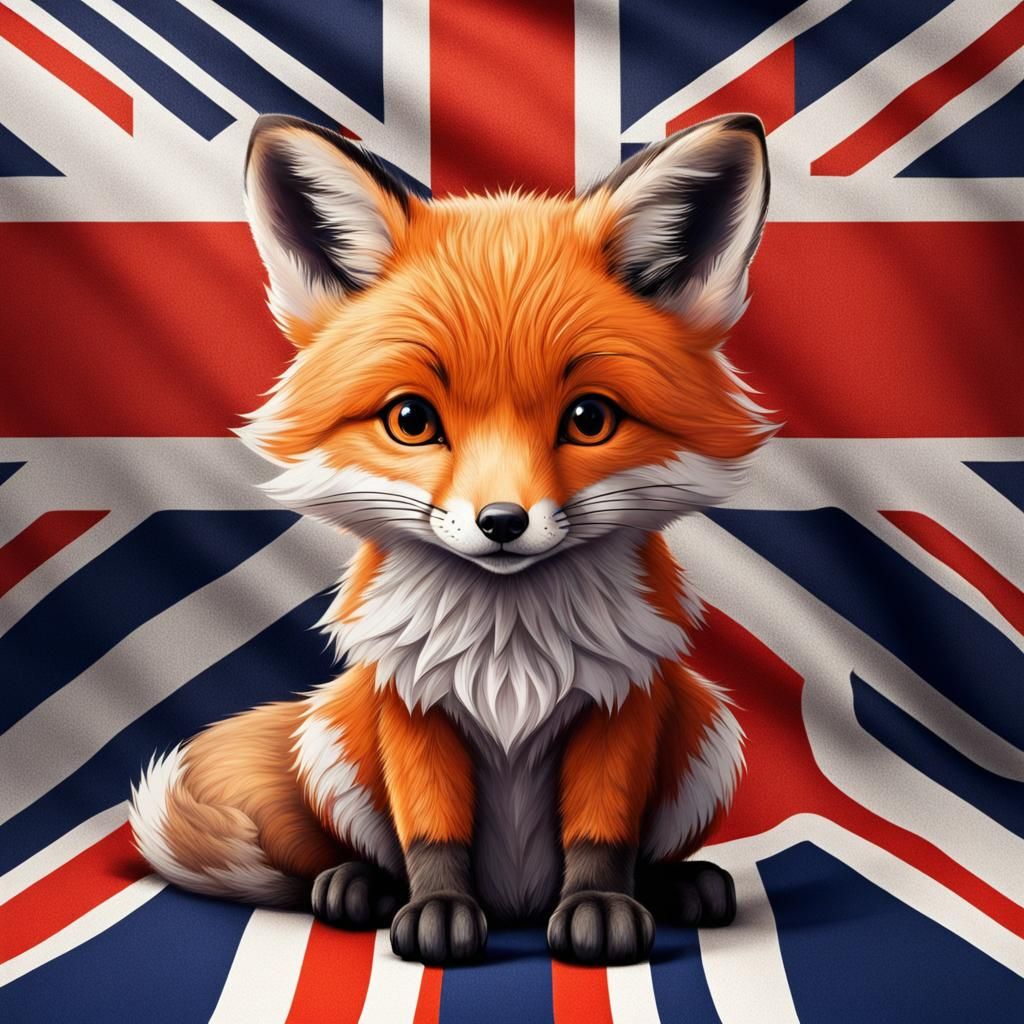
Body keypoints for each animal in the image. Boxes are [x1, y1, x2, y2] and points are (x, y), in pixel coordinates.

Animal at [129, 111, 773, 966]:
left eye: (589, 419)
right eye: (411, 419)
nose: (502, 522)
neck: (510, 653)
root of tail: (516, 905)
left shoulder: (621, 701)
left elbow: (601, 834)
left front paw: (600, 908)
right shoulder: (413, 705)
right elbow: (433, 833)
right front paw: (436, 913)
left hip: (708, 727)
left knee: (654, 847)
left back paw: (679, 885)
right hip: (334, 741)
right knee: (359, 852)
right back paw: (357, 887)